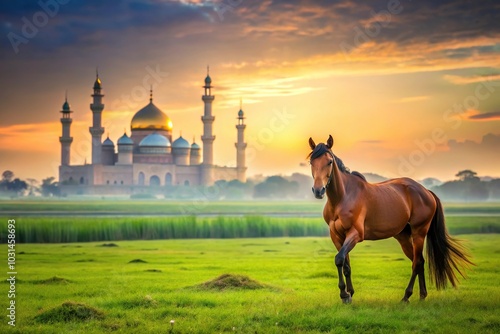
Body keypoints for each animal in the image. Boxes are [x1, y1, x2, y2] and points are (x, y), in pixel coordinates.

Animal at [308, 135, 472, 302]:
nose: (318, 190)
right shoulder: (336, 235)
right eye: (311, 162)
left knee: (417, 262)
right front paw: (349, 294)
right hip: (403, 237)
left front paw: (344, 294)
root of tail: (426, 191)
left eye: (329, 161)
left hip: (419, 233)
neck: (343, 197)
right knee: (419, 261)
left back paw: (406, 296)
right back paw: (422, 295)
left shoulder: (355, 234)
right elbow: (345, 264)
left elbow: (339, 259)